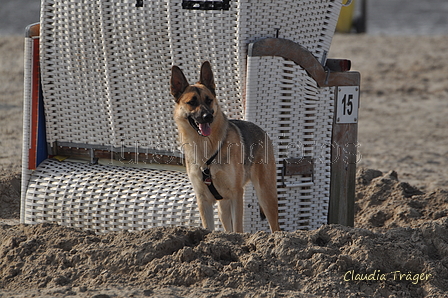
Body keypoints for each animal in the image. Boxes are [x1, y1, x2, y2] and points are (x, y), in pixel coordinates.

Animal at [170, 61, 278, 233]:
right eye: (192, 102)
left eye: (209, 100)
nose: (208, 116)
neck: (205, 147)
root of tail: (261, 130)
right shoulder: (204, 201)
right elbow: (209, 229)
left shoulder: (236, 194)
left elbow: (238, 229)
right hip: (223, 207)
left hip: (266, 196)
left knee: (276, 227)